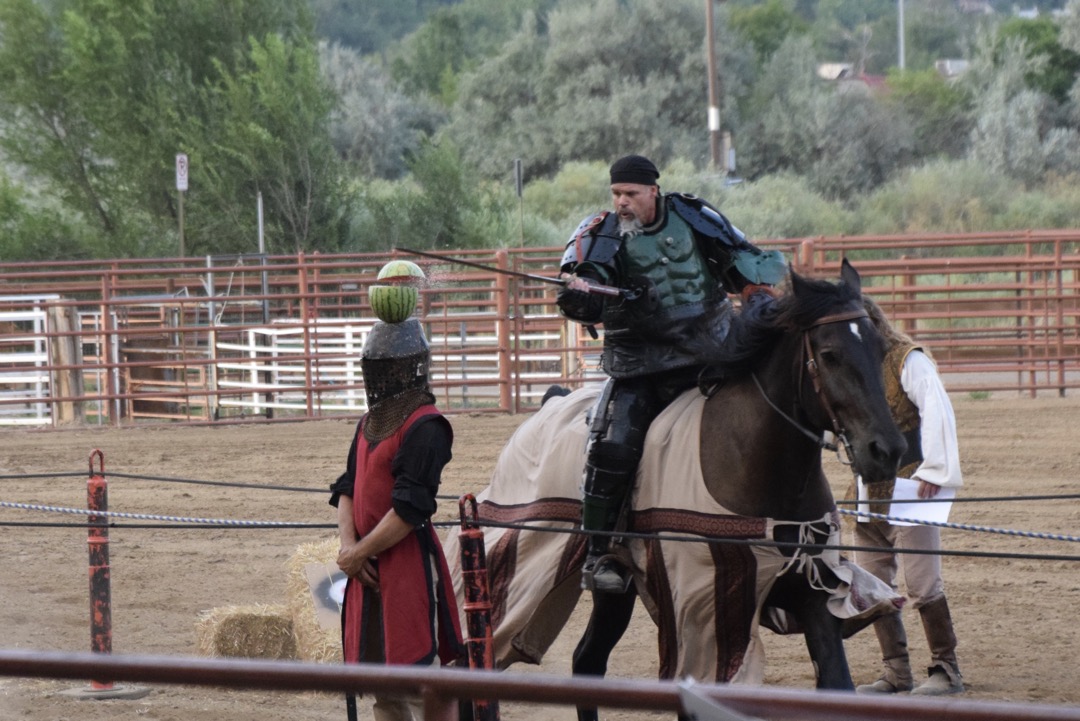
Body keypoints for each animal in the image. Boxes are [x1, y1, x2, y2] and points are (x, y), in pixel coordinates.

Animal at [442, 262, 907, 716]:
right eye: (829, 355)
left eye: (880, 351)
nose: (886, 450)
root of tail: (551, 399)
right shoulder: (702, 621)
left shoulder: (811, 597)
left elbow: (836, 683)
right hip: (521, 555)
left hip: (617, 590)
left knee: (587, 661)